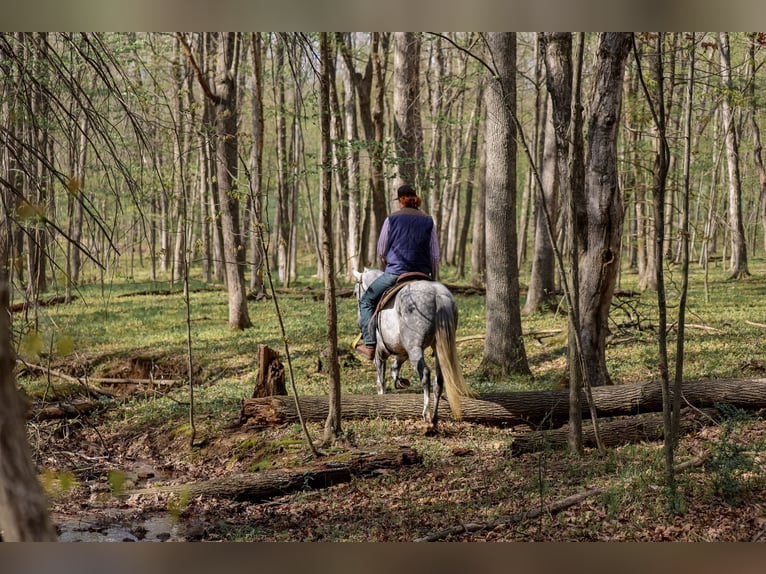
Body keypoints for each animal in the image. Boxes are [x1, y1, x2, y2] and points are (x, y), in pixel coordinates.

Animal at [352, 267, 473, 428]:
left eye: (355, 293)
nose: (358, 321)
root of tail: (438, 294)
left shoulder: (380, 354)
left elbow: (381, 381)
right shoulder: (403, 350)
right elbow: (395, 366)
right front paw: (400, 381)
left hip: (415, 348)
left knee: (425, 374)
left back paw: (426, 414)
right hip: (438, 348)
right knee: (439, 380)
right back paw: (434, 417)